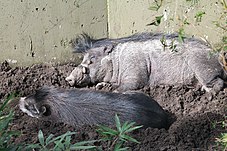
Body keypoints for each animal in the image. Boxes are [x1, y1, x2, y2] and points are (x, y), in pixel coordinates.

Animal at [64, 33, 226, 92]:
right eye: (83, 59)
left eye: (92, 60)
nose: (68, 78)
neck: (117, 61)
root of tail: (219, 57)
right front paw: (100, 86)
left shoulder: (135, 75)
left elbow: (126, 86)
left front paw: (112, 90)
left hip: (203, 69)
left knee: (219, 82)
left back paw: (208, 94)